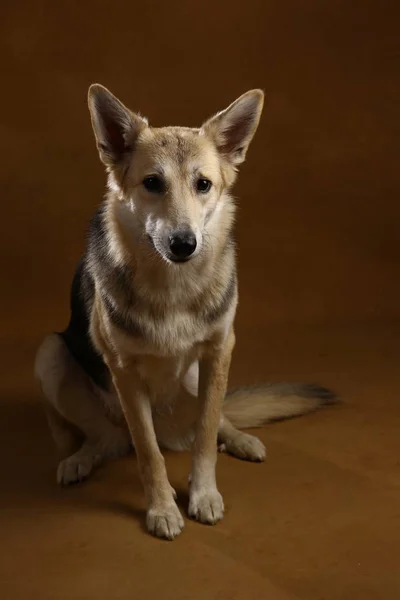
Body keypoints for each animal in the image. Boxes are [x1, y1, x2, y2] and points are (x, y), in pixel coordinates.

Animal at [34, 86, 336, 540]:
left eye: (203, 185)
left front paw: (203, 492)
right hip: (50, 354)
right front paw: (162, 507)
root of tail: (172, 430)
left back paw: (239, 439)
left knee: (214, 420)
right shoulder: (124, 372)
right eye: (152, 183)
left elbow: (208, 434)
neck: (172, 285)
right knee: (111, 440)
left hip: (199, 376)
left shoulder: (219, 350)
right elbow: (148, 454)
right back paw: (81, 457)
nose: (183, 244)